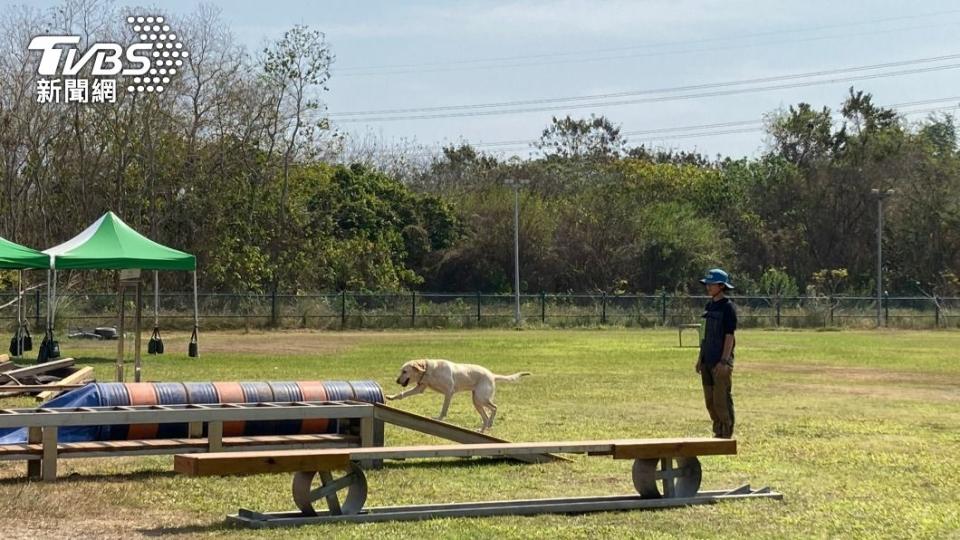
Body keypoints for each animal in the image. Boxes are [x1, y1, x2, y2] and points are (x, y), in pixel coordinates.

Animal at [384, 360, 532, 432]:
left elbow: (444, 409)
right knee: (485, 416)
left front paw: (439, 418)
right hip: (476, 401)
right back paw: (482, 429)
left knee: (494, 407)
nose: (397, 381)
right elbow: (402, 394)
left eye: (404, 371)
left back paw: (490, 423)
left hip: (481, 398)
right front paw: (391, 397)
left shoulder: (449, 392)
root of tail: (492, 375)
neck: (429, 370)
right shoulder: (419, 388)